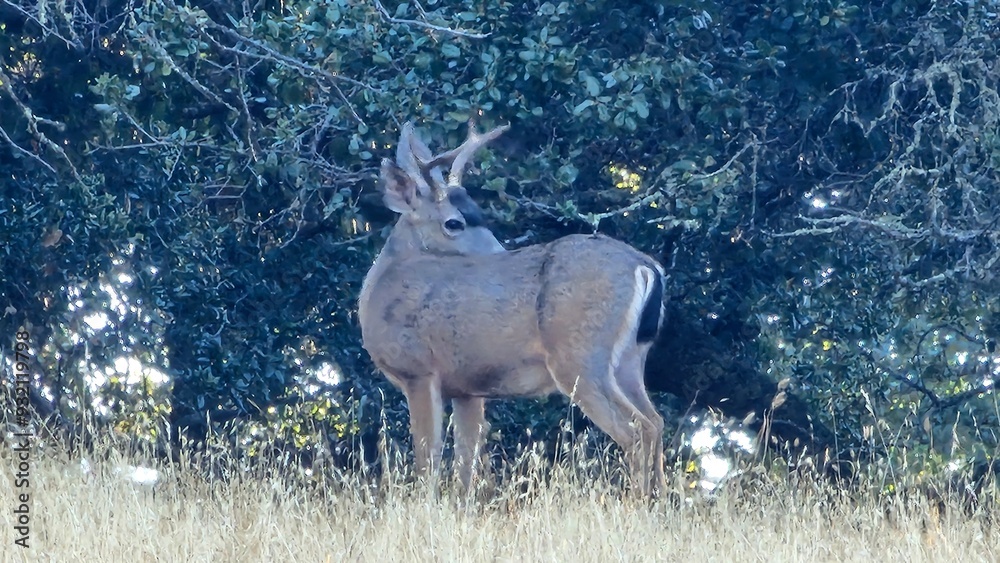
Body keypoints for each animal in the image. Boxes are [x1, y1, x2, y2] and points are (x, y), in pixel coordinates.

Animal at [358, 121, 667, 495]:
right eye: (455, 222)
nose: (501, 253)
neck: (382, 286)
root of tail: (646, 267)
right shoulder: (466, 388)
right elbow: (465, 465)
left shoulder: (419, 370)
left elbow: (427, 462)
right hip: (629, 361)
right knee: (656, 422)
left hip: (580, 358)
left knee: (637, 429)